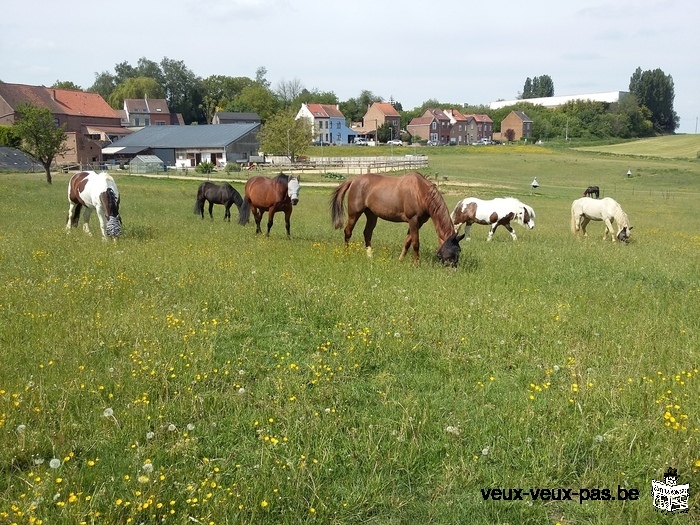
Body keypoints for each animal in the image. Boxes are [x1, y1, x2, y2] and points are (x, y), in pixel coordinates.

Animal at [330, 172, 464, 268]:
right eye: (453, 250)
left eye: (459, 250)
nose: (453, 269)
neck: (420, 192)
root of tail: (353, 180)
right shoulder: (413, 220)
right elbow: (415, 243)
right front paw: (416, 264)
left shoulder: (419, 222)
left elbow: (407, 242)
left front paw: (400, 260)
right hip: (354, 213)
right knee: (348, 231)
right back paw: (346, 253)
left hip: (372, 215)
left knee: (367, 233)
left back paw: (370, 256)